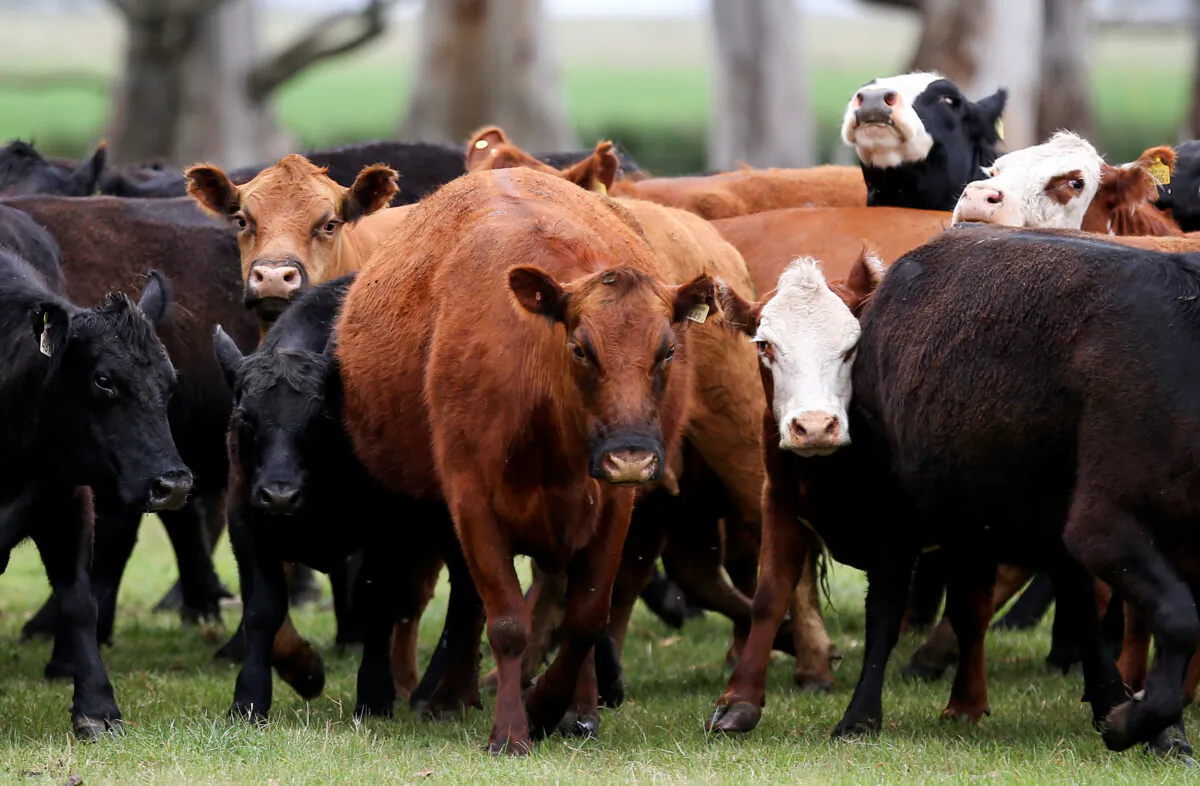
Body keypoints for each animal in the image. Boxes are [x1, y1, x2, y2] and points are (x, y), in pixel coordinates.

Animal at [0, 249, 191, 738]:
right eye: (104, 380)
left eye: (170, 382)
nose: (173, 485)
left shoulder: (67, 505)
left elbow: (80, 602)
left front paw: (97, 706)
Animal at [336, 167, 715, 754]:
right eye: (581, 348)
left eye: (668, 350)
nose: (630, 455)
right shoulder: (470, 502)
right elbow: (509, 622)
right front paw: (512, 728)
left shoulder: (612, 507)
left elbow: (585, 617)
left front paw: (555, 707)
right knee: (470, 601)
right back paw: (451, 697)